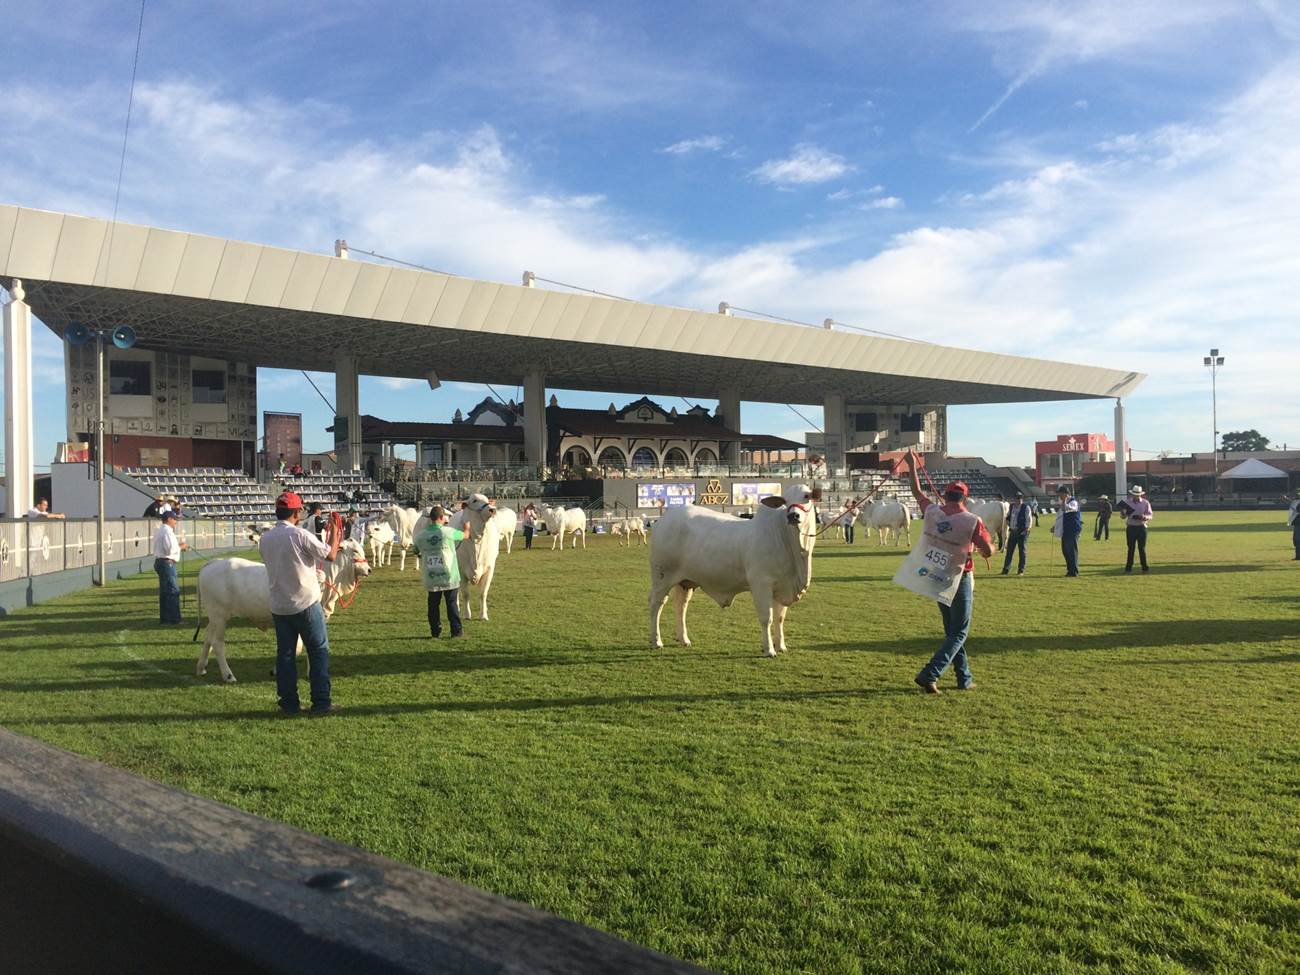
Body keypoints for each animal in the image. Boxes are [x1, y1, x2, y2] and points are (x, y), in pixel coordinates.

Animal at [196, 543, 371, 686]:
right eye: (355, 550)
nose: (369, 569)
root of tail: (214, 562)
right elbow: (301, 647)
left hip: (214, 617)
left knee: (208, 637)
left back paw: (201, 667)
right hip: (220, 615)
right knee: (218, 643)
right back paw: (228, 675)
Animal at [454, 491, 499, 621]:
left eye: (487, 500)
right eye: (474, 501)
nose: (492, 509)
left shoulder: (489, 569)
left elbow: (483, 593)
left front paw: (483, 615)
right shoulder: (461, 571)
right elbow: (465, 594)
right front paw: (467, 614)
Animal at [650, 486, 821, 660]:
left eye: (807, 496)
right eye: (785, 500)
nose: (793, 515)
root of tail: (663, 520)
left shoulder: (782, 587)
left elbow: (779, 618)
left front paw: (781, 646)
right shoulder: (761, 584)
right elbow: (767, 618)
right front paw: (769, 649)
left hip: (685, 582)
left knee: (681, 606)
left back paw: (683, 639)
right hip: (662, 577)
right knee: (656, 604)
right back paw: (656, 641)